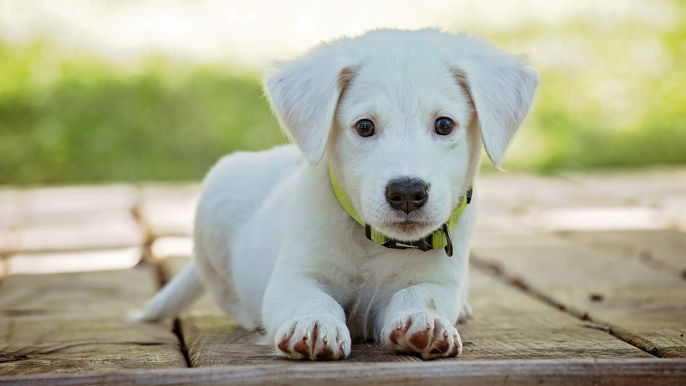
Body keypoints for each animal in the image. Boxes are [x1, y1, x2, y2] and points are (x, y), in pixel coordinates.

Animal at [142, 28, 540, 360]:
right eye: (364, 127)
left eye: (444, 125)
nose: (407, 192)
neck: (373, 244)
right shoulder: (294, 275)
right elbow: (311, 297)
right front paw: (314, 323)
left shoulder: (440, 281)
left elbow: (420, 294)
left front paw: (422, 321)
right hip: (217, 201)